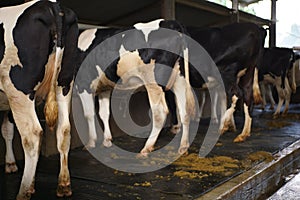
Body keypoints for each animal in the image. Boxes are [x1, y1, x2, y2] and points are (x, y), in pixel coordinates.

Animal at [0, 0, 78, 198]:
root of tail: (52, 5)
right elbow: (7, 129)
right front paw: (11, 163)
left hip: (18, 88)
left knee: (32, 135)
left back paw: (24, 191)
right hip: (64, 83)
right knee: (64, 130)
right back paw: (63, 185)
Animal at [75, 18, 195, 156]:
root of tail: (173, 23)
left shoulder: (83, 84)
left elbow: (89, 114)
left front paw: (90, 143)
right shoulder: (104, 88)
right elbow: (104, 113)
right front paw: (107, 140)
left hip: (152, 81)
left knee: (160, 112)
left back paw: (146, 148)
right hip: (179, 79)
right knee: (184, 110)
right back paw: (183, 147)